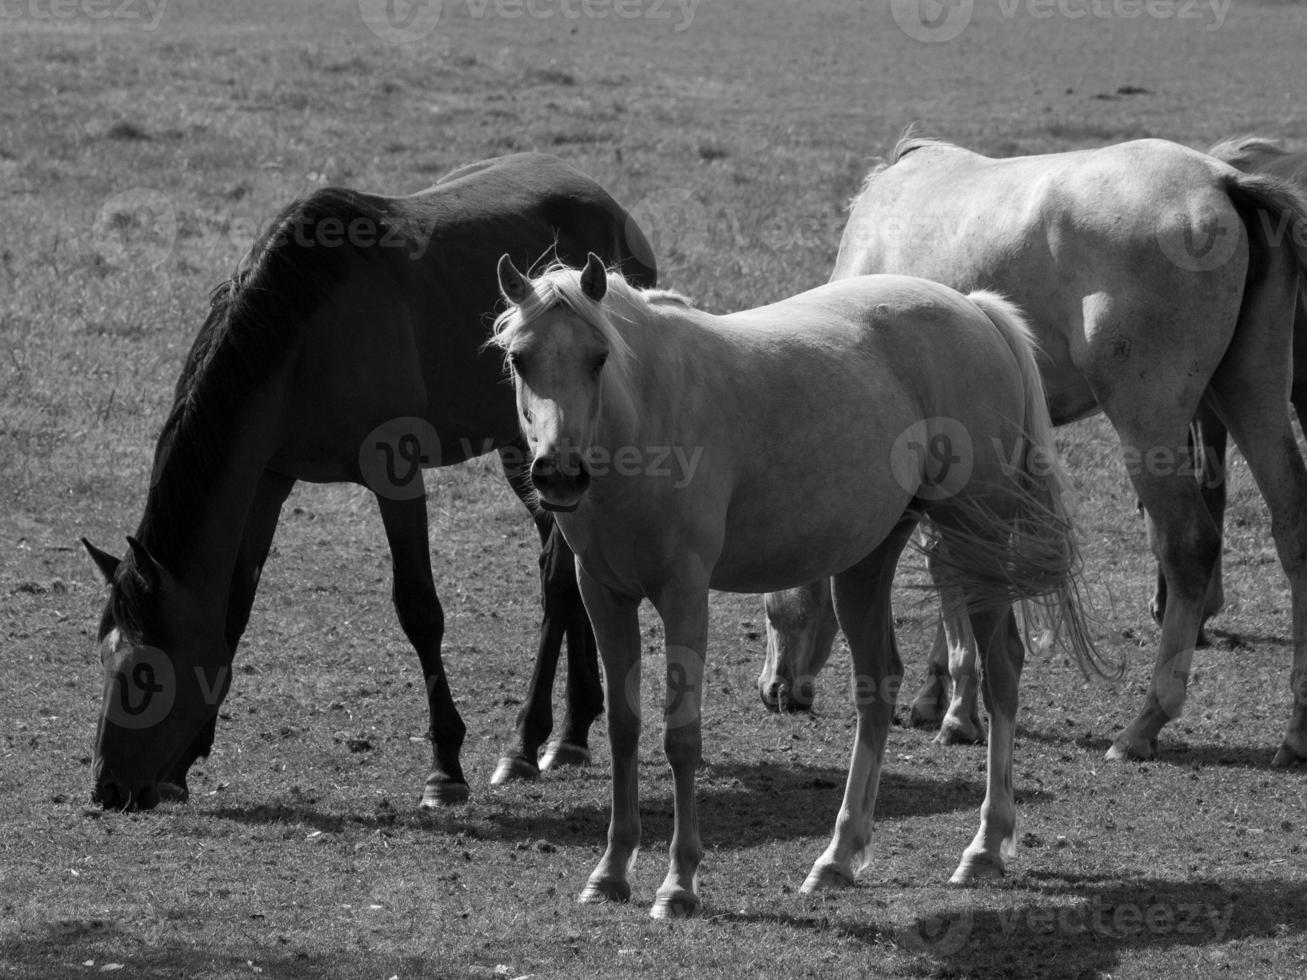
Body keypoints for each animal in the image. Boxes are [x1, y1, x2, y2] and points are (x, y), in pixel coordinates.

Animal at [81, 153, 653, 815]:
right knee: (560, 566)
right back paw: (572, 730)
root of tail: (613, 213)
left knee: (560, 580)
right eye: (104, 658)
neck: (304, 328)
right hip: (526, 449)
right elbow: (234, 610)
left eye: (146, 673)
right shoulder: (269, 478)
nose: (108, 788)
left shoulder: (394, 470)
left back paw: (529, 741)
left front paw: (444, 768)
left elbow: (420, 610)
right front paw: (184, 763)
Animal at [494, 253, 1097, 919]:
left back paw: (984, 849)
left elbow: (681, 738)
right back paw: (837, 858)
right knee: (877, 687)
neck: (646, 415)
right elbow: (625, 729)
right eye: (520, 358)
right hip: (867, 562)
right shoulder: (604, 594)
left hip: (972, 537)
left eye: (598, 356)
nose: (559, 473)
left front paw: (678, 885)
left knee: (1003, 671)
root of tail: (977, 311)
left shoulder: (685, 594)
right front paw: (609, 873)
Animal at [758, 136, 1307, 768]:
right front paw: (939, 696)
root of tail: (1223, 182)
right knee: (1293, 527)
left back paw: (1144, 724)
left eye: (769, 604)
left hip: (1151, 426)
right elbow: (957, 562)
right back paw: (1297, 730)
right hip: (1251, 392)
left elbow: (949, 565)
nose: (773, 690)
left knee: (1188, 545)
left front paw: (954, 708)